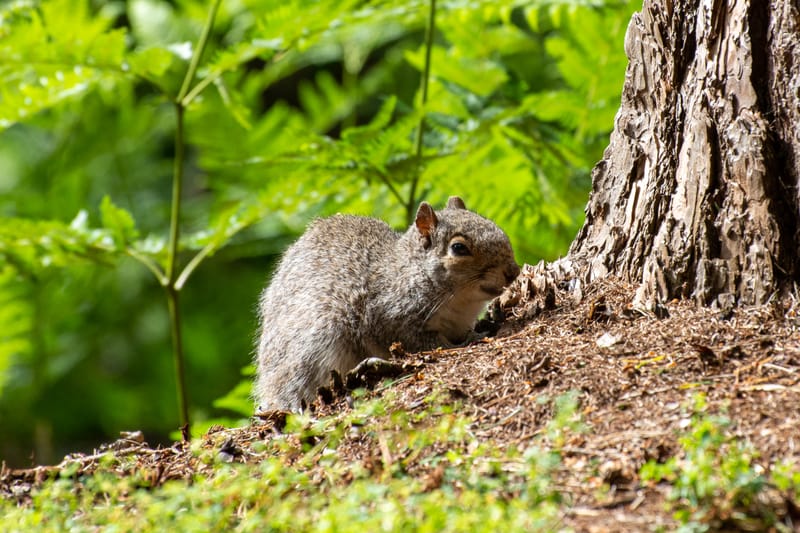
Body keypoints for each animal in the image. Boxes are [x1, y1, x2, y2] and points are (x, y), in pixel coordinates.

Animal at [254, 196, 520, 412]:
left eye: (497, 228)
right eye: (458, 248)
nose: (513, 272)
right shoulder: (389, 319)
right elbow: (426, 343)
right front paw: (466, 341)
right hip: (316, 342)